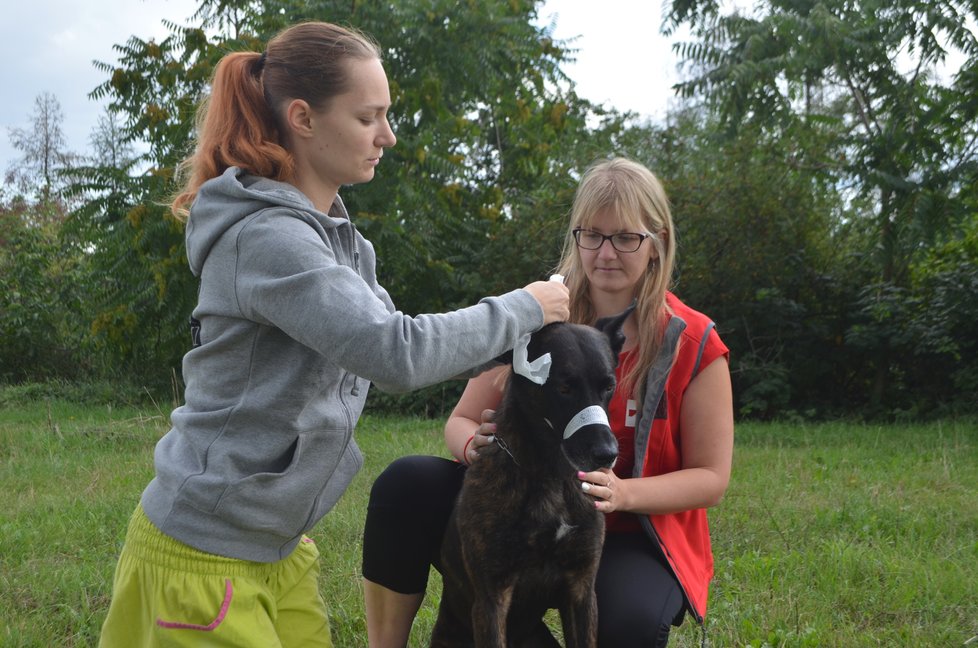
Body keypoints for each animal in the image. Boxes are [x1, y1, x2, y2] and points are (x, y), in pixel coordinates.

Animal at [428, 308, 628, 648]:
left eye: (608, 386)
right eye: (563, 387)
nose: (607, 454)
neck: (552, 477)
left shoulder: (582, 590)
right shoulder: (492, 597)